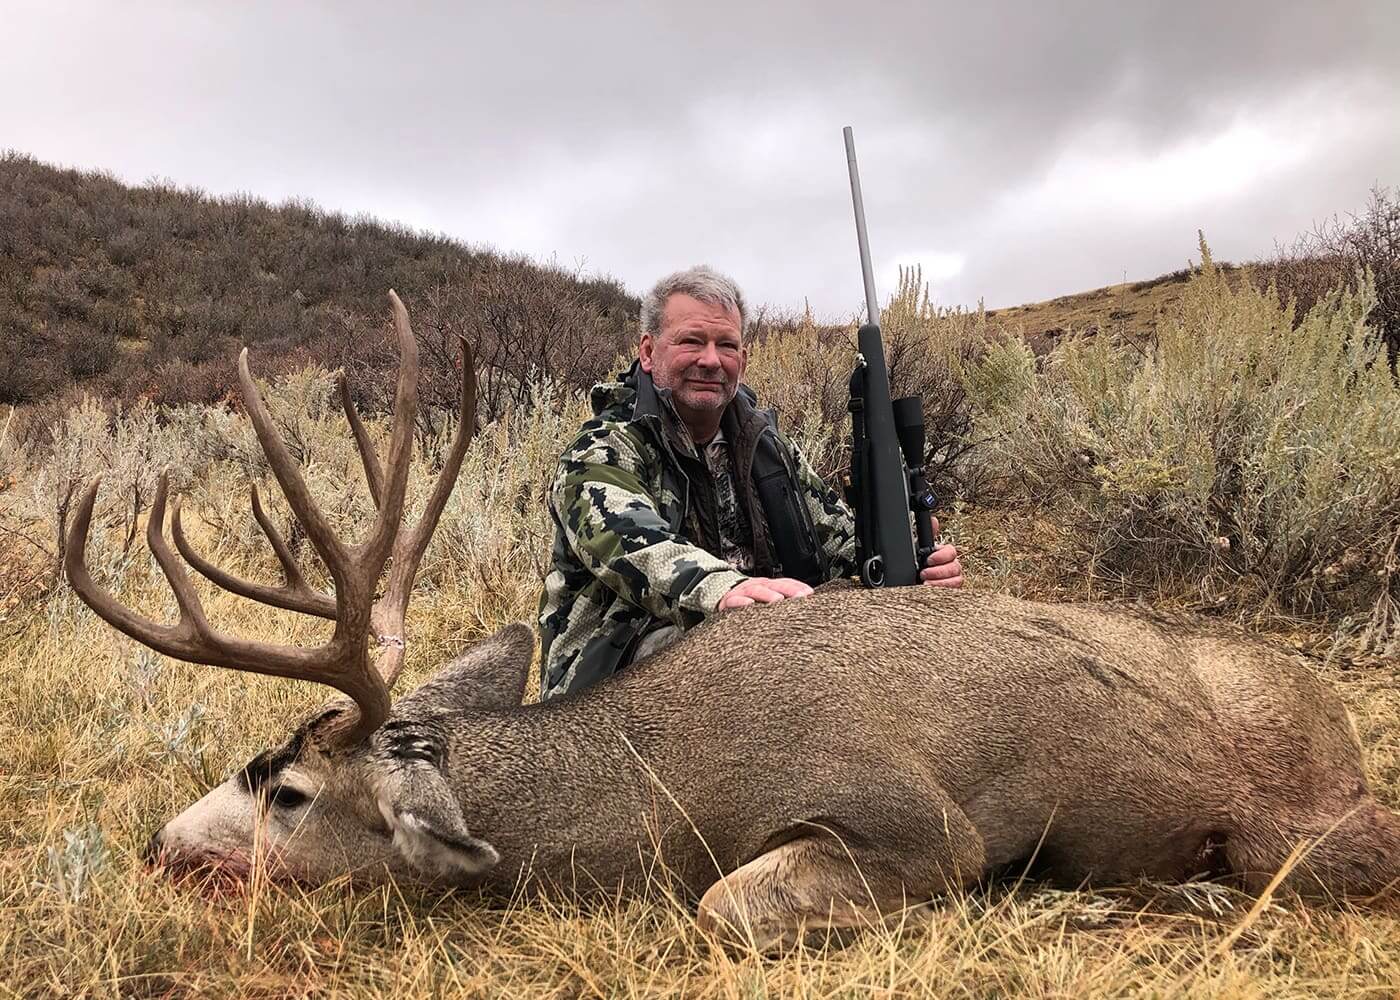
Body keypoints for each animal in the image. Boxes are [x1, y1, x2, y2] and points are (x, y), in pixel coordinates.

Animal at [66, 292, 1400, 952]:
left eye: (287, 793)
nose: (159, 845)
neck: (667, 776)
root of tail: (1332, 708)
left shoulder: (914, 818)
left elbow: (722, 909)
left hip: (1301, 824)